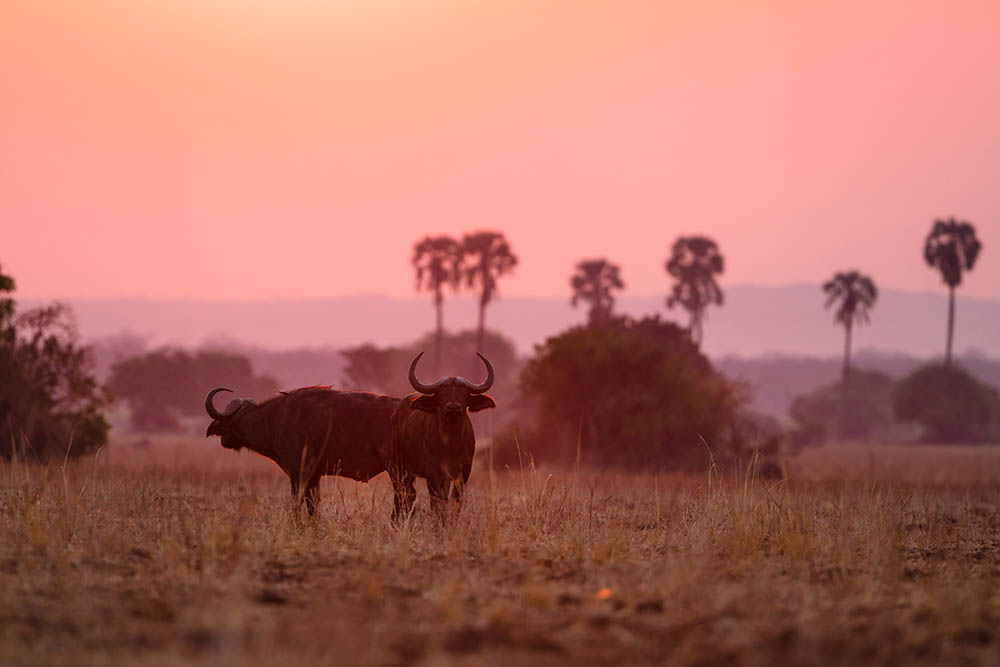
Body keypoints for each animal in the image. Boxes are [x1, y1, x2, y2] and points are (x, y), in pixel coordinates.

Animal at [205, 386, 400, 516]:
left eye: (231, 423)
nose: (223, 440)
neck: (273, 420)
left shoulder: (299, 472)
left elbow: (297, 502)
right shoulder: (314, 476)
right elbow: (312, 505)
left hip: (395, 470)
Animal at [386, 352, 496, 520]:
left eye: (464, 394)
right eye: (440, 394)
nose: (453, 407)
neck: (451, 444)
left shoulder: (462, 472)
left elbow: (455, 501)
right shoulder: (434, 474)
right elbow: (438, 503)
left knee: (409, 494)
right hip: (397, 467)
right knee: (401, 494)